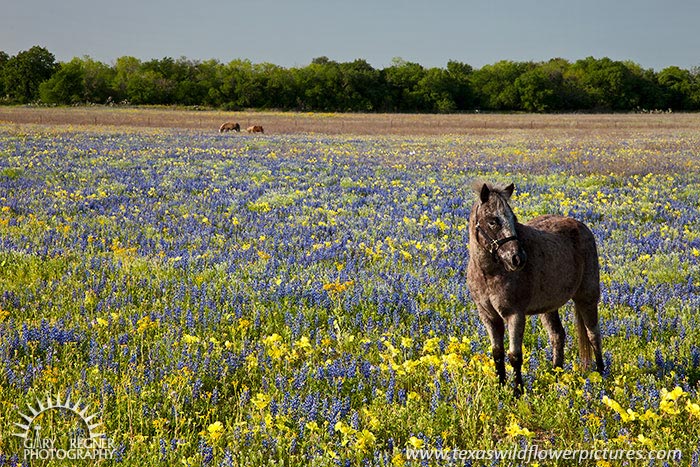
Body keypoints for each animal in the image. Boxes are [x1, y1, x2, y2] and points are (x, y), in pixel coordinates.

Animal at [466, 181, 604, 395]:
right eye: (493, 221)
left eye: (513, 218)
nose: (518, 258)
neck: (489, 273)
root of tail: (581, 226)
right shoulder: (488, 316)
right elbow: (497, 352)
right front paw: (500, 387)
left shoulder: (515, 314)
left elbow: (514, 355)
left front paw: (517, 392)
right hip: (549, 307)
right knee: (557, 335)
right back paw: (556, 374)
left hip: (587, 297)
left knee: (593, 334)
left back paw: (601, 374)